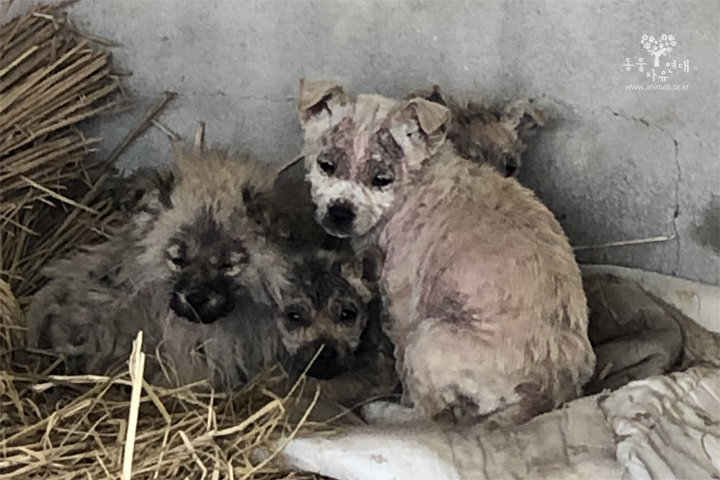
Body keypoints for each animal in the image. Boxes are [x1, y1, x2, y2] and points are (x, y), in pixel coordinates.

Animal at [296, 79, 592, 428]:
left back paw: (382, 412)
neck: (410, 190)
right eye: (325, 165)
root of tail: (547, 393)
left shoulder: (402, 313)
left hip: (427, 338)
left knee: (432, 416)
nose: (339, 212)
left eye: (382, 179)